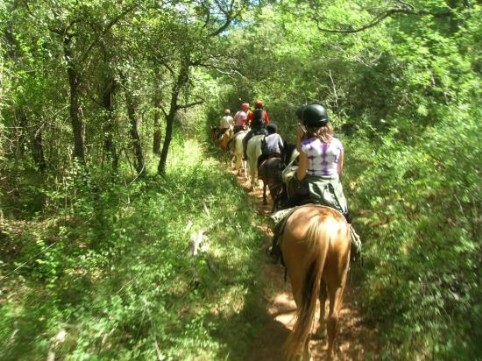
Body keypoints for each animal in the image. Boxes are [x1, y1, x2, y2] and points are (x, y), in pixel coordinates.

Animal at [282, 205, 350, 360]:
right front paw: (321, 329)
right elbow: (323, 296)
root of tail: (322, 222)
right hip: (338, 280)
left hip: (299, 281)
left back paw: (307, 354)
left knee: (305, 316)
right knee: (333, 318)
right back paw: (330, 356)